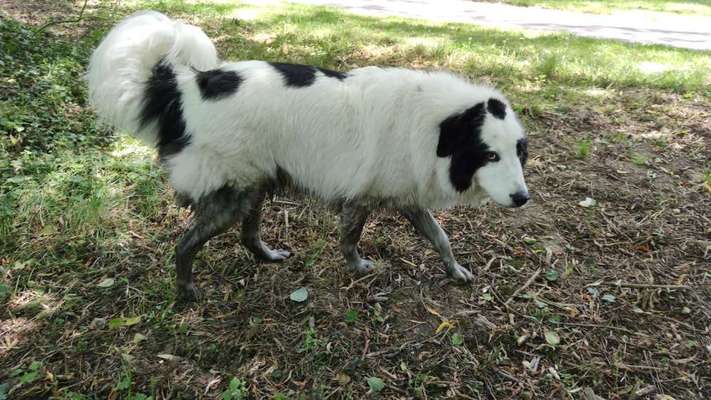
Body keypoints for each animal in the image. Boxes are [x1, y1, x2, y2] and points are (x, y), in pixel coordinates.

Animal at [87, 10, 528, 300]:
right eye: (489, 156)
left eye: (518, 153)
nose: (523, 199)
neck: (434, 125)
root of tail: (186, 86)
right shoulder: (362, 198)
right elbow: (350, 239)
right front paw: (358, 269)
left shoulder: (406, 197)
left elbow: (441, 238)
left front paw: (455, 271)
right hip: (231, 195)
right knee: (184, 245)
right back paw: (186, 292)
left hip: (256, 183)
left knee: (248, 235)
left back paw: (266, 257)